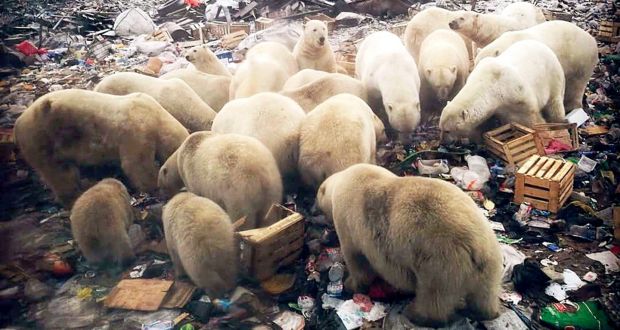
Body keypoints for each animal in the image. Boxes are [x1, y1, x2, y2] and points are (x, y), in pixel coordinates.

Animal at [13, 89, 189, 206]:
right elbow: (136, 164)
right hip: (42, 138)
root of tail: (18, 123)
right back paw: (74, 195)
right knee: (59, 172)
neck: (156, 116)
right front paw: (153, 185)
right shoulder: (137, 130)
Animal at [314, 164, 504, 326]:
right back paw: (485, 312)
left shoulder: (348, 221)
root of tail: (476, 247)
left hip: (441, 263)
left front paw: (350, 284)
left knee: (433, 296)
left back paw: (415, 313)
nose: (313, 210)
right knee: (485, 293)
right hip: (489, 262)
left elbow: (357, 260)